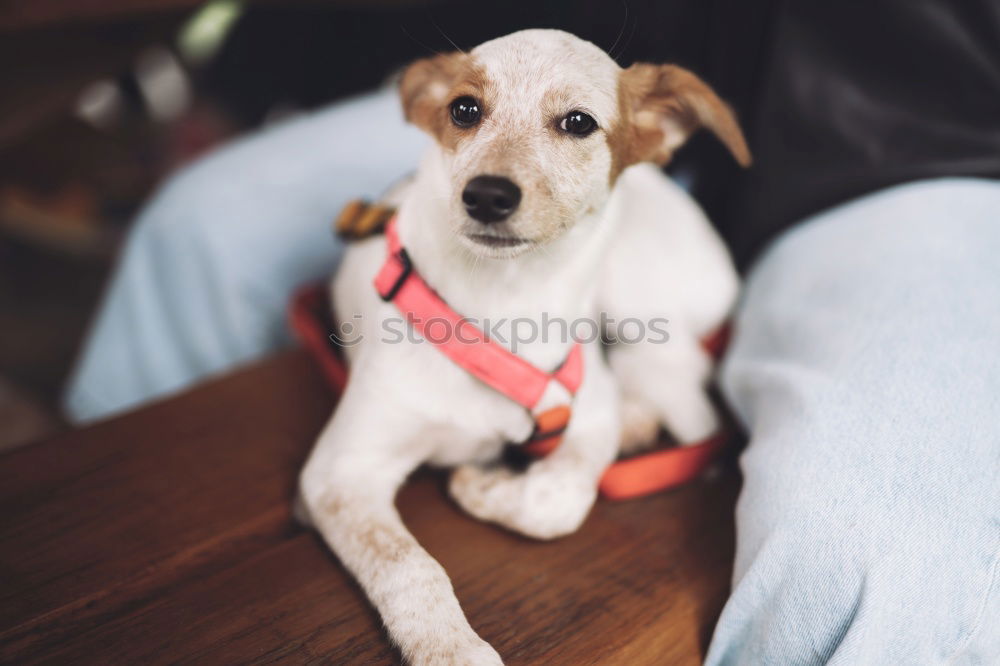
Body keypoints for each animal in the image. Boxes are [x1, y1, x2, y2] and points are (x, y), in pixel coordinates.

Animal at [298, 28, 752, 660]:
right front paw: (452, 649)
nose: (487, 195)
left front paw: (480, 487)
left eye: (579, 122)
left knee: (690, 399)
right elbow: (409, 566)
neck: (504, 306)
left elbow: (560, 501)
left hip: (638, 303)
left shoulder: (590, 414)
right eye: (464, 110)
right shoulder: (340, 474)